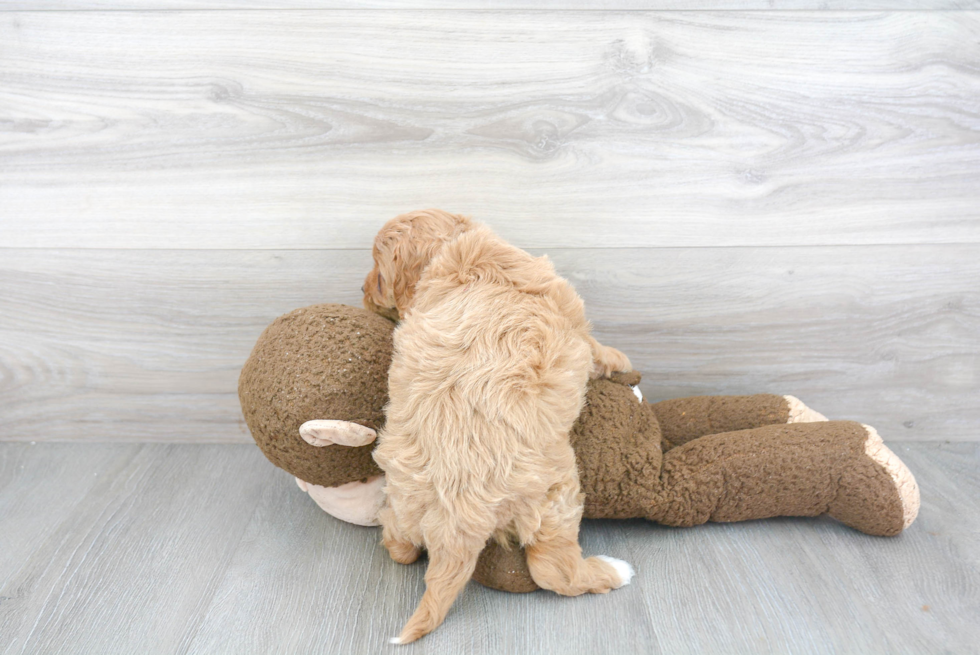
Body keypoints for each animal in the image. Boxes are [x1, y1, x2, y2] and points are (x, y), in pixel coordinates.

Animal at [364, 210, 632, 644]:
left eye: (378, 276)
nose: (362, 290)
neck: (458, 256)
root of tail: (456, 519)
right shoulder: (570, 318)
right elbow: (596, 348)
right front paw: (620, 358)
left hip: (401, 499)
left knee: (400, 546)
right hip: (555, 496)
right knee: (553, 571)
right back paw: (613, 571)